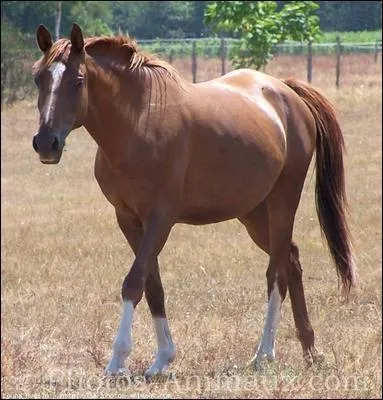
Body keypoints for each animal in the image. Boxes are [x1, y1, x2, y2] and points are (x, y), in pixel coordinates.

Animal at [31, 23, 356, 380]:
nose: (46, 143)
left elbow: (133, 282)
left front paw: (117, 361)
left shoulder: (161, 218)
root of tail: (287, 92)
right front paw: (162, 358)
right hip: (253, 213)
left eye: (78, 80)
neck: (138, 123)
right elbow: (152, 285)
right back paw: (310, 351)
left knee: (277, 272)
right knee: (291, 261)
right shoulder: (128, 219)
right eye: (38, 78)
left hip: (283, 201)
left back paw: (264, 354)